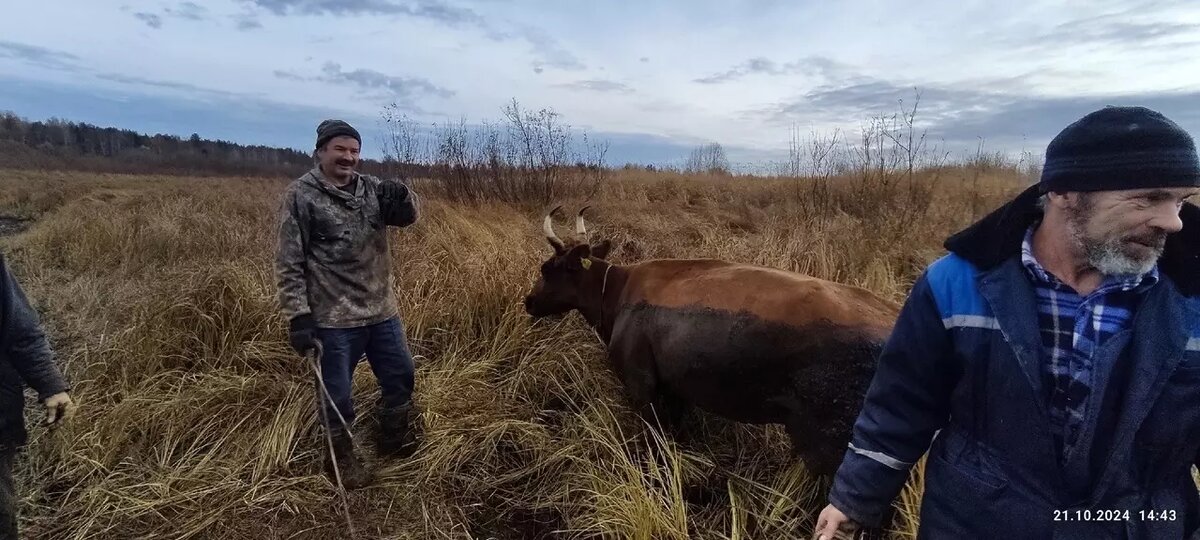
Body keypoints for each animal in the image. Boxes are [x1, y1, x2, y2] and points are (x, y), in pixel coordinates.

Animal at [523, 206, 901, 481]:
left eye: (547, 268)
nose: (528, 302)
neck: (617, 293)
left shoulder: (641, 385)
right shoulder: (674, 388)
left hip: (830, 446)